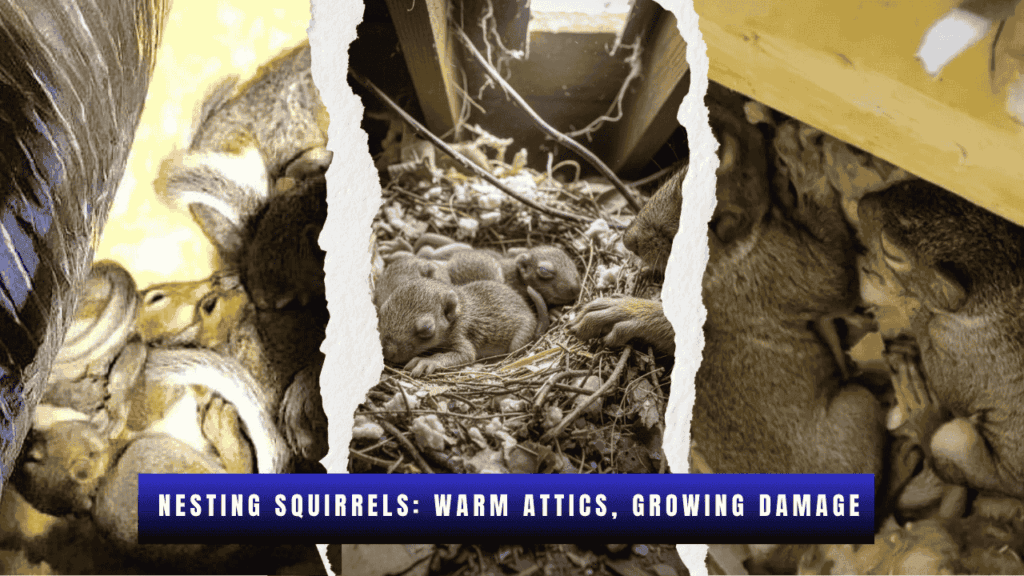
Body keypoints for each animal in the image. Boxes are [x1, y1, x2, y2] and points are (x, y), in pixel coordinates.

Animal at [377, 278, 540, 377]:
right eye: (381, 313)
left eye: (427, 329)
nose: (387, 351)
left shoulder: (461, 333)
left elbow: (466, 354)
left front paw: (428, 361)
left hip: (521, 337)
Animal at [858, 179, 1024, 499]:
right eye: (911, 184)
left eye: (893, 252)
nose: (860, 203)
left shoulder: (968, 355)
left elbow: (948, 386)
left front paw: (912, 305)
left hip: (959, 445)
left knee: (945, 461)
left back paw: (922, 411)